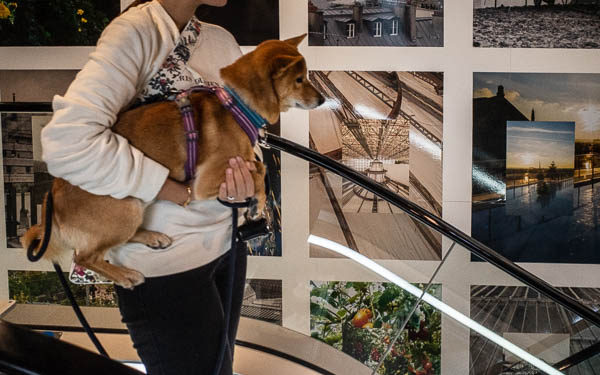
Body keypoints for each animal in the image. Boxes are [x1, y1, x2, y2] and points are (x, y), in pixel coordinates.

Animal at [21, 33, 324, 290]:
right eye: (299, 79)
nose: (322, 99)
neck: (237, 107)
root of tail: (52, 197)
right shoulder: (206, 181)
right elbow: (258, 169)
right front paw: (257, 202)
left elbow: (257, 165)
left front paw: (253, 202)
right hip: (125, 206)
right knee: (85, 256)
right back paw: (126, 275)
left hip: (135, 205)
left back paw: (152, 237)